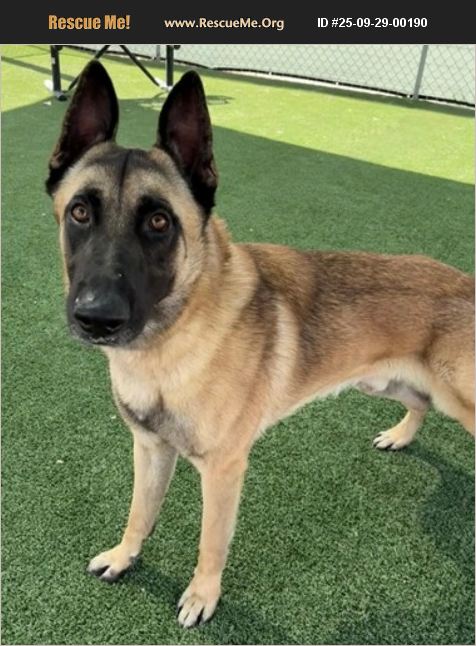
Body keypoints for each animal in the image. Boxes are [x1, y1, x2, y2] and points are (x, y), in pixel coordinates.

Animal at [46, 61, 475, 628]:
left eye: (159, 222)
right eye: (79, 213)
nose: (96, 317)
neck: (170, 344)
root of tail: (467, 282)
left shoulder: (223, 471)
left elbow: (210, 544)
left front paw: (202, 596)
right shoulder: (151, 450)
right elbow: (139, 513)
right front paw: (124, 556)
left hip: (458, 398)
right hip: (383, 382)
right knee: (419, 403)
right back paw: (401, 436)